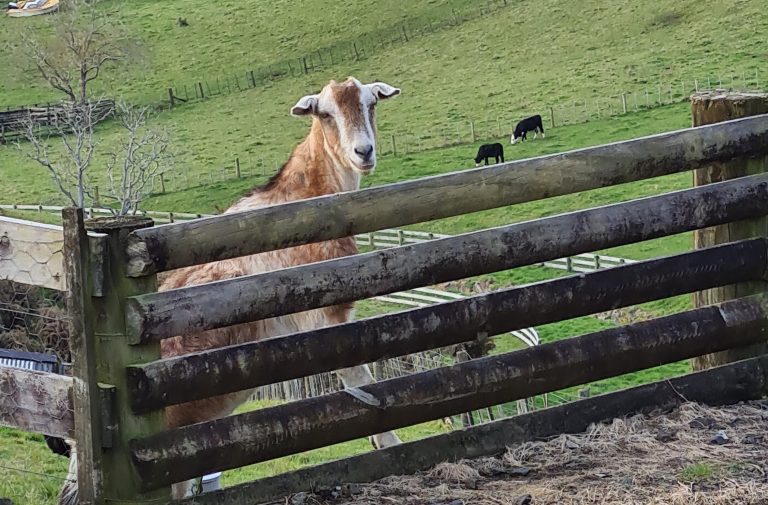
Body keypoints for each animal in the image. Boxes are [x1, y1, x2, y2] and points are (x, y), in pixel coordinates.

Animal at [58, 77, 401, 503]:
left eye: (371, 103)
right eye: (324, 113)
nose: (363, 152)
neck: (302, 200)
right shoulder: (323, 314)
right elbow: (361, 379)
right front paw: (391, 447)